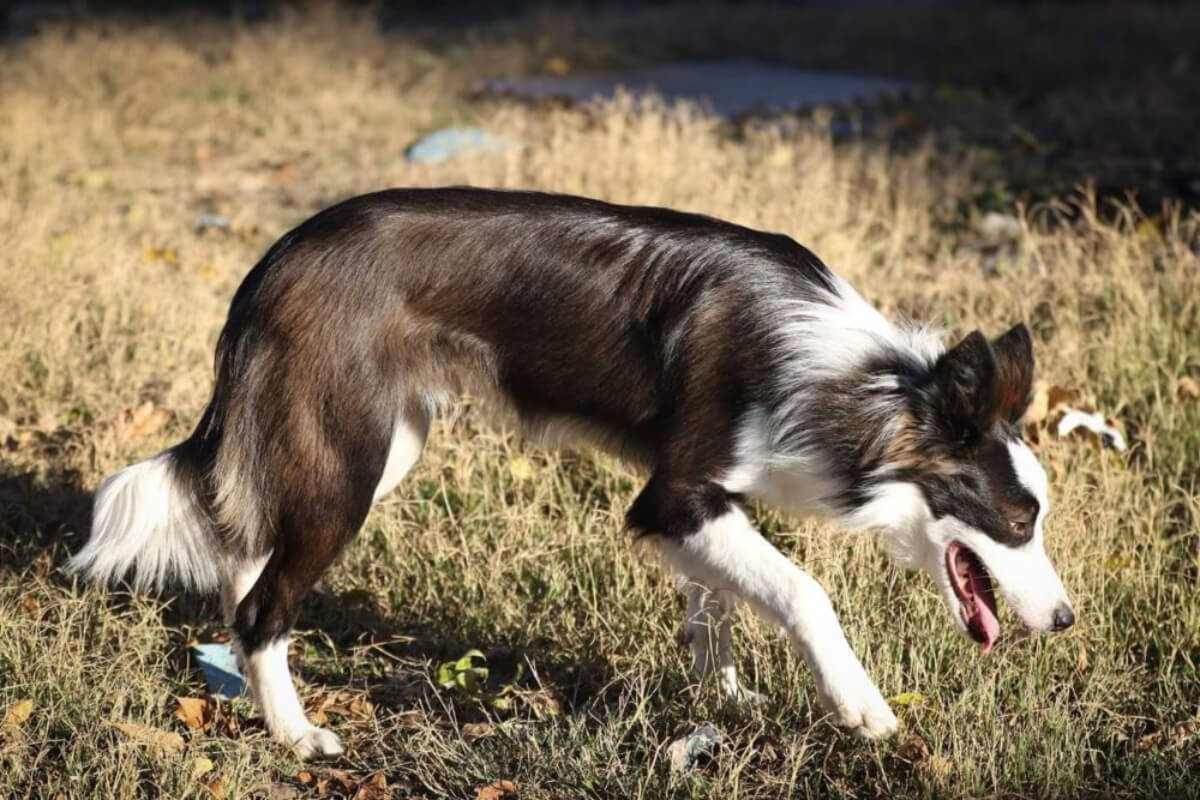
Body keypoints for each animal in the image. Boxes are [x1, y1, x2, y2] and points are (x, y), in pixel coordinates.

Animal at [70, 185, 1075, 758]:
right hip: (350, 462)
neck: (861, 385)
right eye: (1017, 524)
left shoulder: (700, 502)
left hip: (373, 448)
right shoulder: (674, 497)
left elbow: (714, 608)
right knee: (263, 603)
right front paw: (859, 705)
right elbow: (803, 591)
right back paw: (293, 733)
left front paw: (724, 698)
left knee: (247, 550)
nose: (1067, 622)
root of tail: (275, 258)